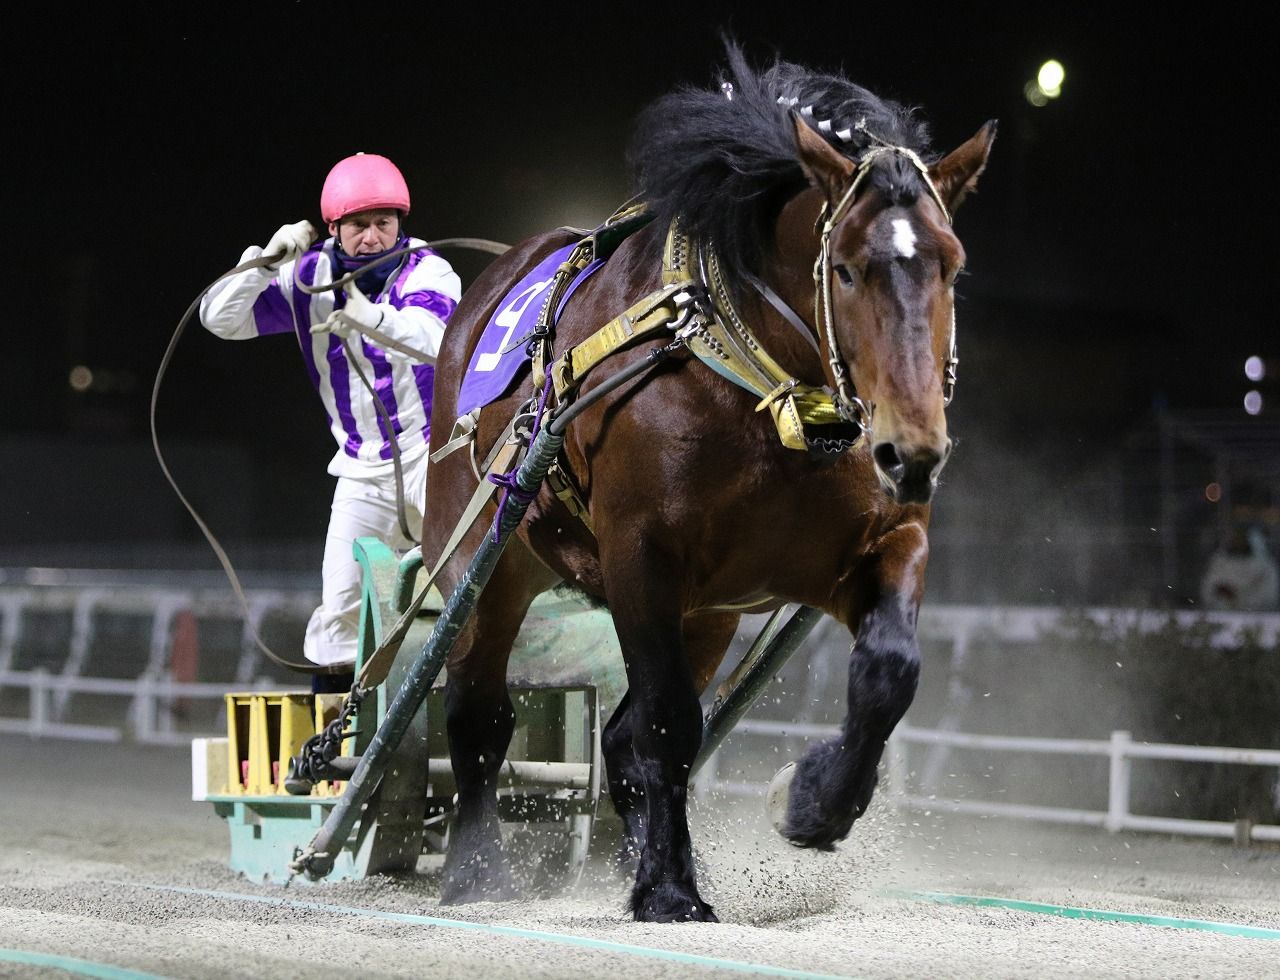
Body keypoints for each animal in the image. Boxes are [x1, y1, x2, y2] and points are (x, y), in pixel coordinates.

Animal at [424, 42, 993, 926]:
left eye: (951, 267)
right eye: (848, 271)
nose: (913, 451)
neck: (767, 396)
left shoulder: (875, 544)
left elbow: (889, 670)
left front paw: (813, 802)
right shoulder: (640, 558)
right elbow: (667, 726)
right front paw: (669, 888)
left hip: (708, 616)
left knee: (617, 743)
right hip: (486, 561)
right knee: (479, 715)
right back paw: (478, 872)